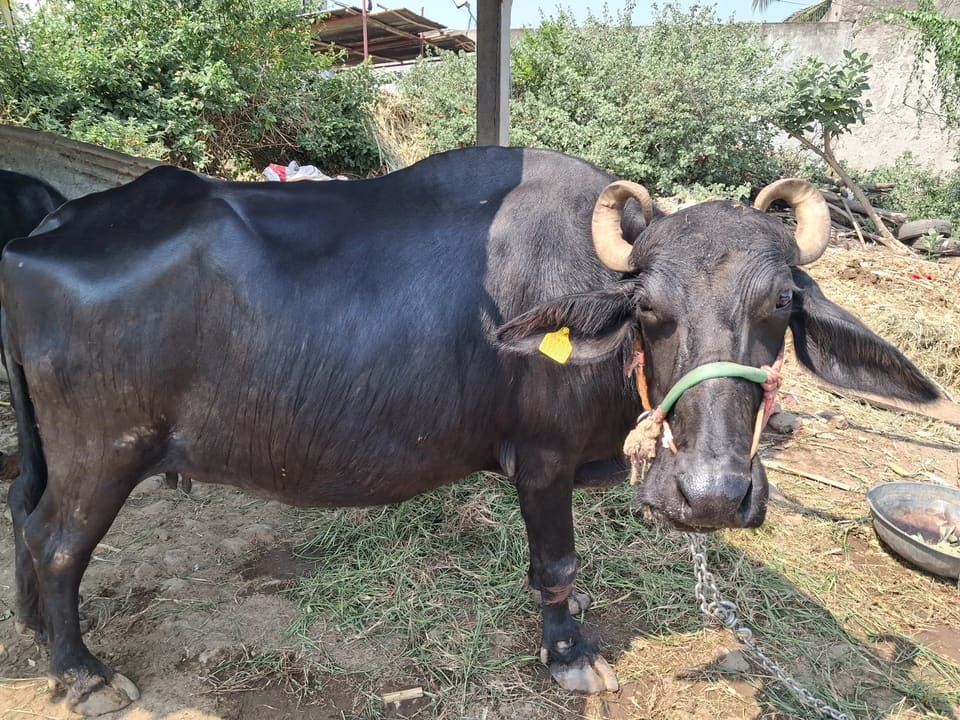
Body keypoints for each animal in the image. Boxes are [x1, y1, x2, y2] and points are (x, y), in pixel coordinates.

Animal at [0, 147, 940, 715]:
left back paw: (36, 629)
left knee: (21, 508)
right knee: (56, 541)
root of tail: (41, 233)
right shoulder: (543, 461)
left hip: (59, 452)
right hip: (103, 454)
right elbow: (556, 564)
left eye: (780, 303)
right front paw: (569, 652)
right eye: (647, 307)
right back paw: (80, 671)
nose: (711, 494)